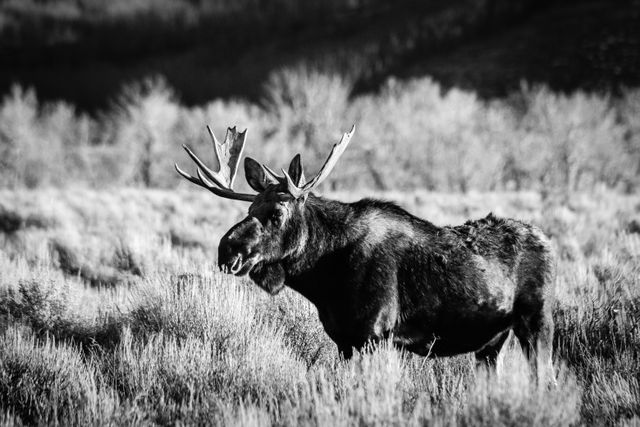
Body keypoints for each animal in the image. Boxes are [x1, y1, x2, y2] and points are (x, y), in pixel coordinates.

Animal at [175, 125, 556, 380]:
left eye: (277, 213)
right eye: (250, 208)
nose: (228, 251)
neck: (324, 280)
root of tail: (547, 242)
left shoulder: (374, 335)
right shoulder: (344, 341)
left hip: (536, 321)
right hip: (492, 341)